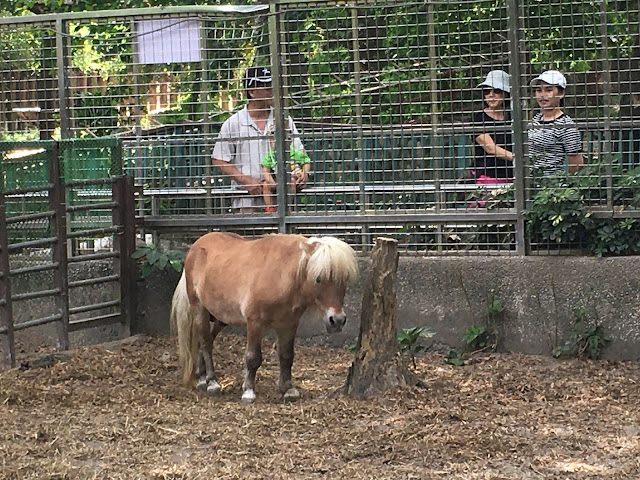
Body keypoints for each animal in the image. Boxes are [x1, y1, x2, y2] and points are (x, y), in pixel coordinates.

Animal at [170, 231, 360, 404]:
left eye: (345, 278)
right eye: (318, 279)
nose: (337, 320)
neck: (282, 275)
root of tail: (195, 247)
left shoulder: (289, 325)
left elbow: (287, 356)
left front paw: (288, 389)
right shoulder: (255, 324)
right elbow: (253, 358)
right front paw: (248, 391)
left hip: (220, 317)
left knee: (206, 340)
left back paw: (202, 378)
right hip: (199, 309)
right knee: (206, 343)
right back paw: (212, 382)